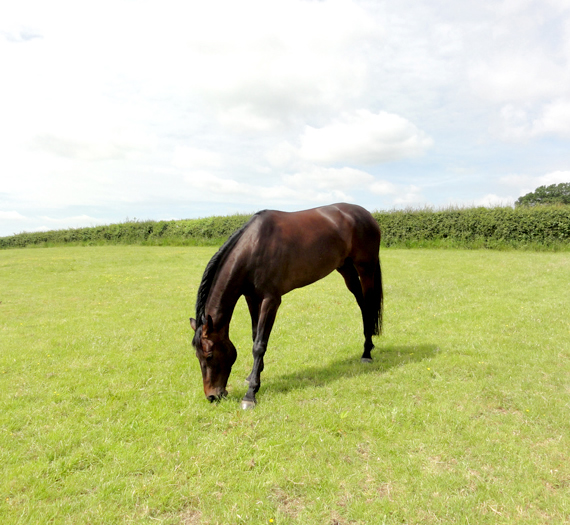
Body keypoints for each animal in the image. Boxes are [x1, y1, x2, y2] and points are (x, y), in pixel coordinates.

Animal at [190, 202, 382, 410]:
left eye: (209, 355)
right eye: (197, 356)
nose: (212, 396)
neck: (254, 247)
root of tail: (366, 215)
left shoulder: (271, 300)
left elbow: (259, 345)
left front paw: (250, 394)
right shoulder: (251, 298)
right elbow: (255, 335)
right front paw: (254, 375)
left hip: (365, 268)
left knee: (368, 305)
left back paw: (366, 353)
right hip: (346, 268)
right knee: (362, 304)